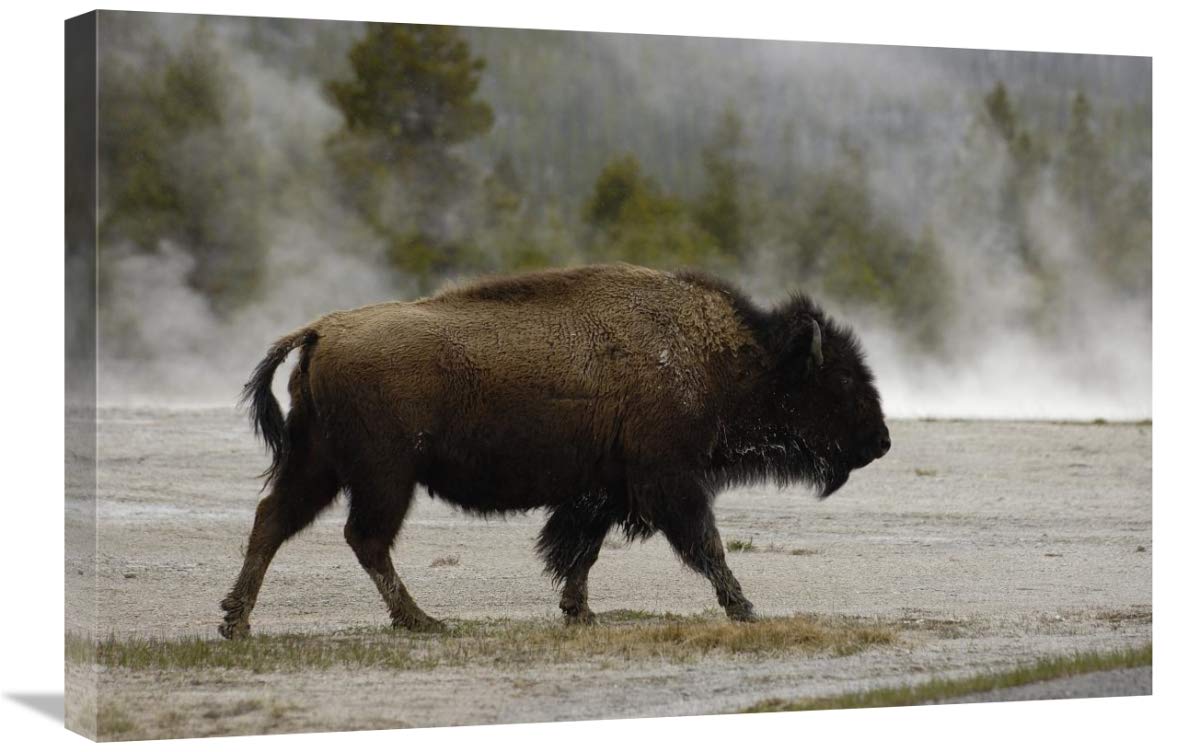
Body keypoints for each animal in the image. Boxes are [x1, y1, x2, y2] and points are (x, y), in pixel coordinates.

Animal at [219, 263, 889, 638]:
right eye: (841, 381)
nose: (881, 441)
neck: (723, 355)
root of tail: (321, 330)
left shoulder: (604, 490)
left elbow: (580, 552)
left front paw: (579, 612)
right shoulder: (667, 481)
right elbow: (705, 545)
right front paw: (745, 609)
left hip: (321, 465)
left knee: (274, 521)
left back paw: (236, 622)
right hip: (385, 476)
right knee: (364, 538)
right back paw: (422, 622)